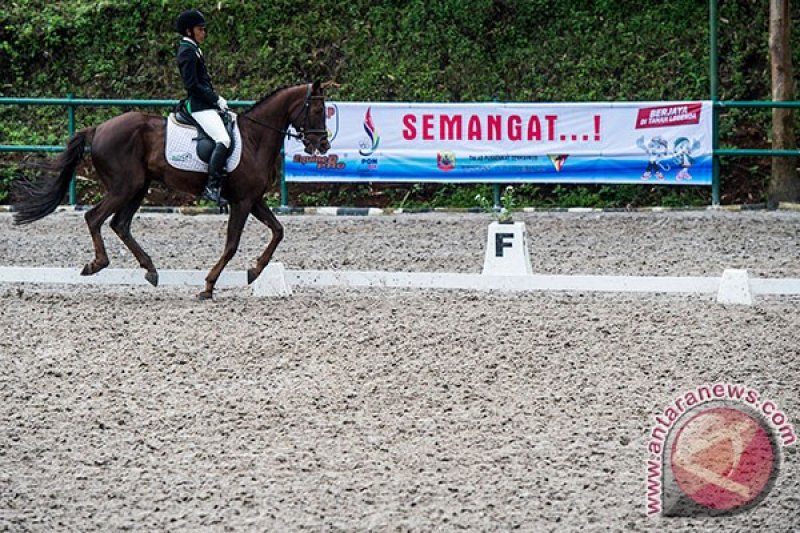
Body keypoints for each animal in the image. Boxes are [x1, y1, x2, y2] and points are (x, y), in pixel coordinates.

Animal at [10, 82, 328, 300]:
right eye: (316, 110)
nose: (323, 145)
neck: (254, 139)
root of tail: (98, 128)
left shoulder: (253, 199)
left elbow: (278, 231)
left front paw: (255, 270)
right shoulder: (243, 201)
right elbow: (232, 244)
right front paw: (208, 286)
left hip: (138, 187)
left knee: (119, 224)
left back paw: (150, 270)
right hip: (124, 187)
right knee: (95, 218)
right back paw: (97, 264)